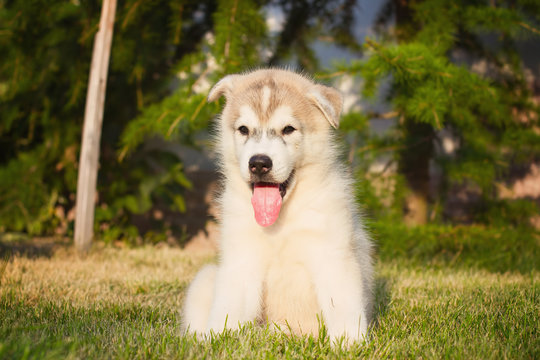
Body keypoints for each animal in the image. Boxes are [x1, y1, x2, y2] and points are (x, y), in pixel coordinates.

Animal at [184, 68, 374, 344]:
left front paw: (349, 344)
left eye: (288, 129)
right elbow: (228, 308)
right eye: (243, 129)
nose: (259, 163)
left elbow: (342, 307)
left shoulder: (333, 255)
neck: (282, 220)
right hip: (206, 277)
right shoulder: (242, 258)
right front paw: (217, 340)